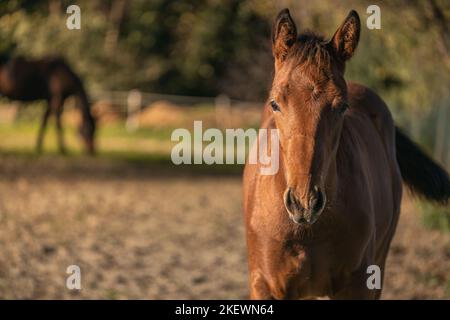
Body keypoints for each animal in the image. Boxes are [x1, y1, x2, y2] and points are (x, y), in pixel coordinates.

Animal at [243, 9, 450, 300]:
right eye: (275, 103)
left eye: (342, 106)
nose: (304, 203)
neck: (307, 231)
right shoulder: (264, 285)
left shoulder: (359, 285)